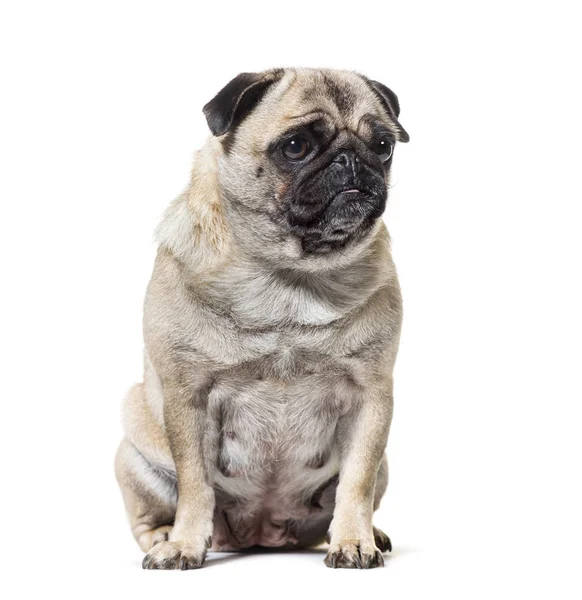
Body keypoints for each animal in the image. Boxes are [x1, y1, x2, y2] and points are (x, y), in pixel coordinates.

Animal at [115, 68, 410, 568]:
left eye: (384, 146)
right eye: (295, 146)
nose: (352, 158)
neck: (288, 276)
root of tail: (261, 532)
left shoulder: (371, 397)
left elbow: (357, 482)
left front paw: (354, 540)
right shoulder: (188, 397)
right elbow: (196, 485)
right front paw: (185, 544)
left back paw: (369, 533)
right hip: (134, 451)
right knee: (151, 514)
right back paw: (163, 536)